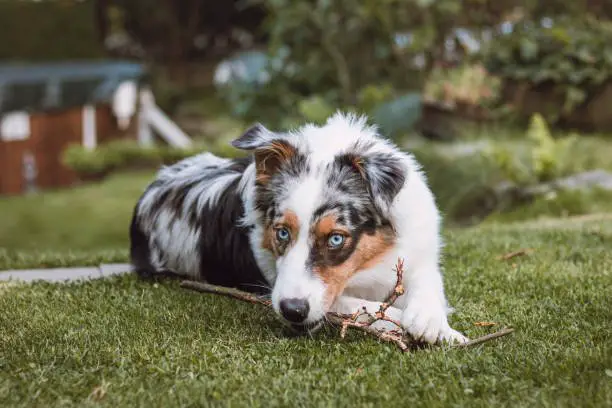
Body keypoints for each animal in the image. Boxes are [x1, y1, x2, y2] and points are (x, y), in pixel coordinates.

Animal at [130, 111, 468, 344]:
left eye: (335, 239)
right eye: (281, 232)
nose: (292, 311)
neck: (370, 262)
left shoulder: (419, 252)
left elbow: (428, 284)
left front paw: (434, 323)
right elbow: (358, 306)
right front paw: (403, 320)